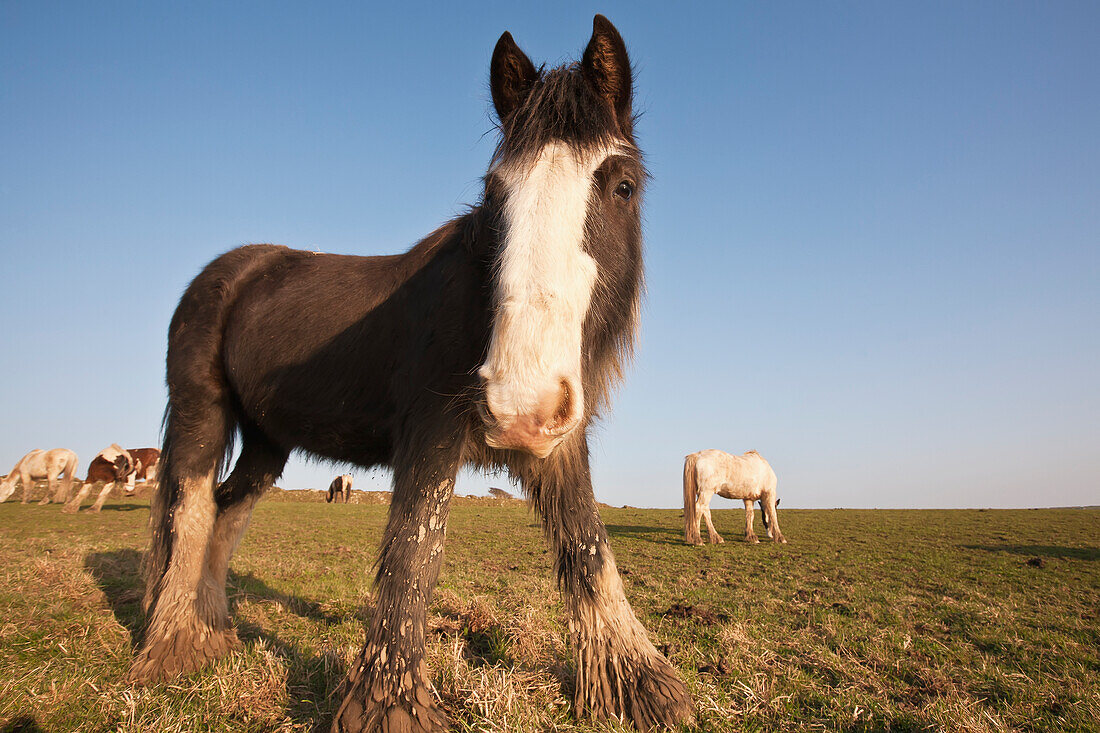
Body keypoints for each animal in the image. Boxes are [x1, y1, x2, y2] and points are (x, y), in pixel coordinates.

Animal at [133, 17, 690, 730]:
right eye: (494, 195)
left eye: (623, 186)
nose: (520, 401)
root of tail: (225, 272)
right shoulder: (429, 432)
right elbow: (412, 553)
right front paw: (389, 703)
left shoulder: (561, 439)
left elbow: (588, 547)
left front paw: (641, 685)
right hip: (201, 410)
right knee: (192, 508)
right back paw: (172, 647)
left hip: (266, 438)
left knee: (230, 510)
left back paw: (212, 633)